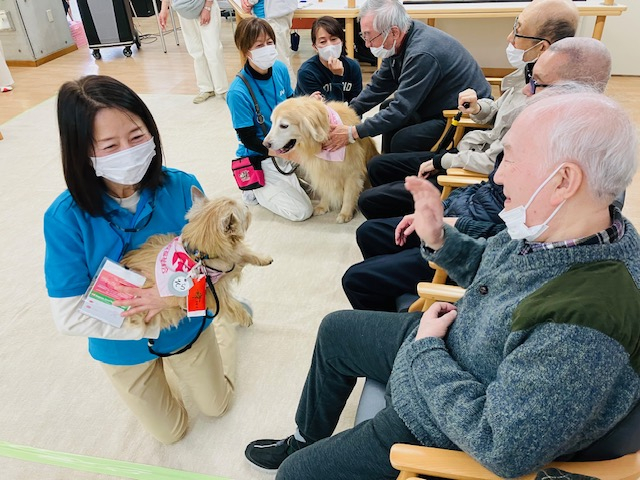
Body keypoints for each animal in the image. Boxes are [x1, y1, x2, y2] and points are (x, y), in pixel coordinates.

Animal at [120, 187, 272, 330]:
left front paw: (263, 259)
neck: (201, 256)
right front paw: (245, 317)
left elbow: (244, 253)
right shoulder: (214, 294)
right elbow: (231, 305)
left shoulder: (231, 259)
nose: (247, 206)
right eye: (244, 213)